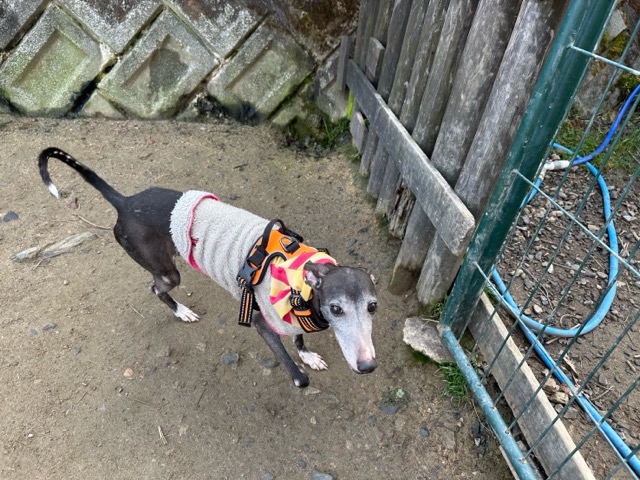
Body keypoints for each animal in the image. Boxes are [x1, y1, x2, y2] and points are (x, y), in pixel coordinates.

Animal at [38, 148, 378, 387]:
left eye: (373, 307)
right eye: (336, 309)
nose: (368, 366)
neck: (299, 282)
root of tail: (124, 202)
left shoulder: (292, 319)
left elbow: (298, 339)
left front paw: (308, 355)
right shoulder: (263, 323)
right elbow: (298, 375)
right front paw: (300, 372)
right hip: (166, 272)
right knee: (155, 287)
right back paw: (181, 311)